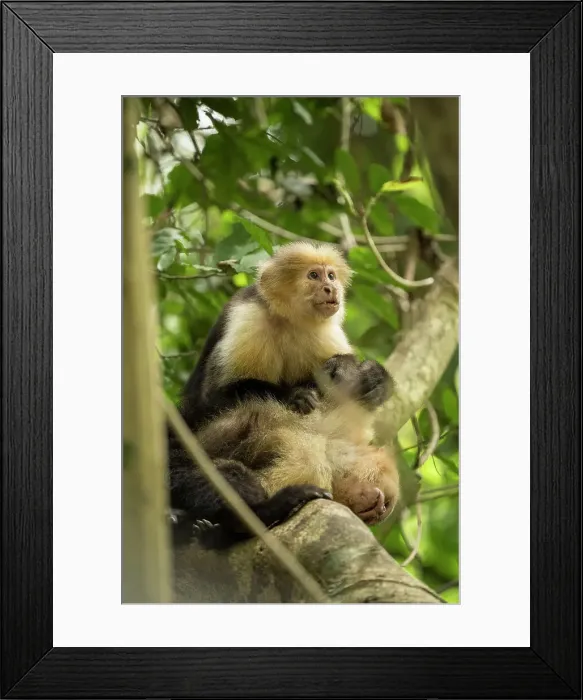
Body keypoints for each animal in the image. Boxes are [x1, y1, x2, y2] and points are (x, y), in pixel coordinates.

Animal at [168, 241, 399, 548]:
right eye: (314, 276)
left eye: (331, 276)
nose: (330, 288)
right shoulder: (248, 317)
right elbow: (214, 397)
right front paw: (293, 396)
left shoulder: (327, 336)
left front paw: (373, 378)